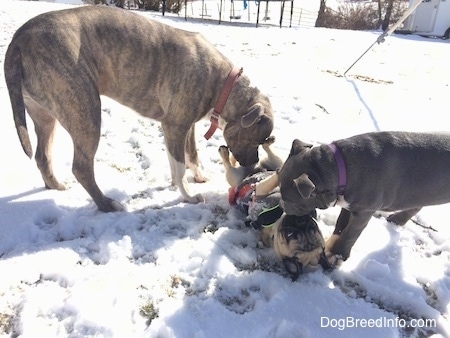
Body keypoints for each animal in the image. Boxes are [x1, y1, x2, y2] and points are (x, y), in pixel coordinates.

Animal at [4, 5, 274, 211]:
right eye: (257, 138)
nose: (255, 163)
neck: (224, 85)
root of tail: (18, 40)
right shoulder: (175, 126)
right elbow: (179, 166)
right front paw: (187, 195)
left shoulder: (184, 127)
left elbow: (190, 155)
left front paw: (196, 177)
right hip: (85, 111)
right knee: (81, 167)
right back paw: (107, 204)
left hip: (45, 116)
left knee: (43, 155)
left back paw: (56, 186)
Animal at [276, 131, 450, 274]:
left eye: (289, 199)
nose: (281, 206)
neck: (337, 168)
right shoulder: (348, 204)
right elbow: (341, 223)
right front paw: (332, 244)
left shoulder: (364, 212)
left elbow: (350, 233)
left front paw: (336, 254)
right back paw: (396, 220)